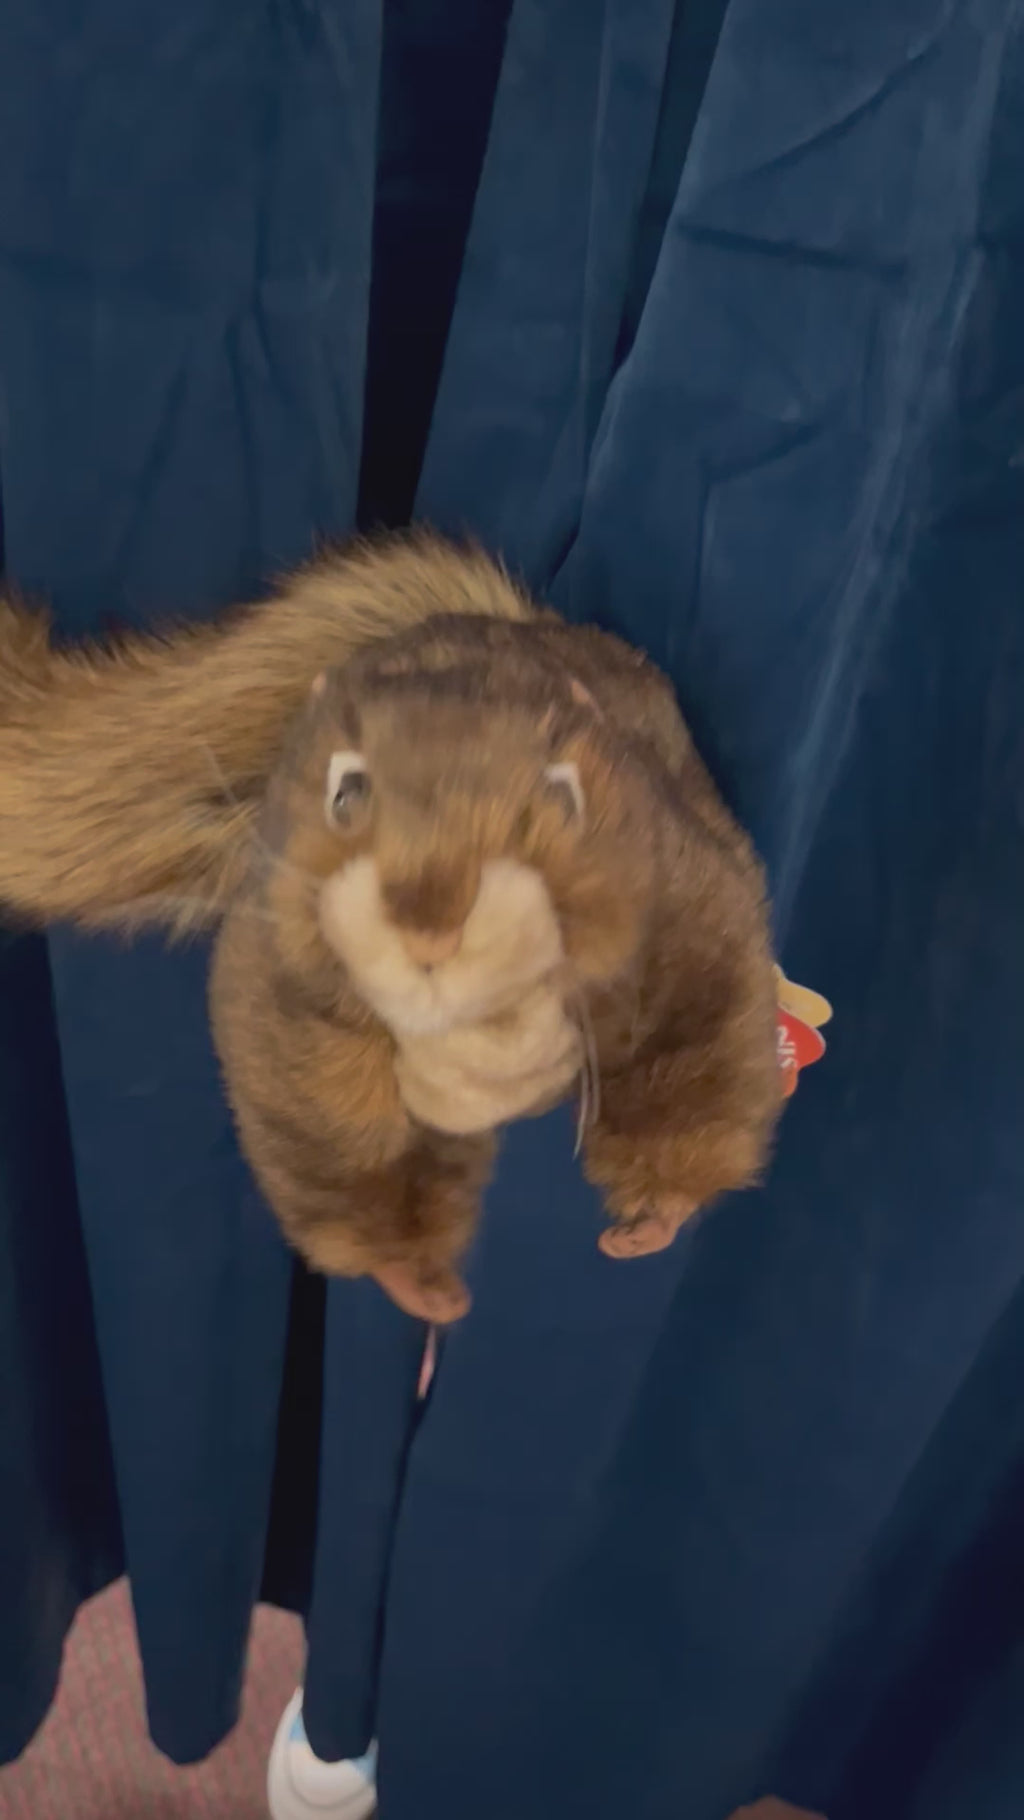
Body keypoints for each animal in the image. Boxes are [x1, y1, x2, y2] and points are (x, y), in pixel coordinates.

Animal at [0, 533, 782, 1323]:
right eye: (345, 791)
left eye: (562, 796)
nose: (431, 924)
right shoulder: (288, 1000)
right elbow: (339, 1145)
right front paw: (415, 1283)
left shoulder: (688, 926)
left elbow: (700, 1066)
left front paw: (660, 1215)